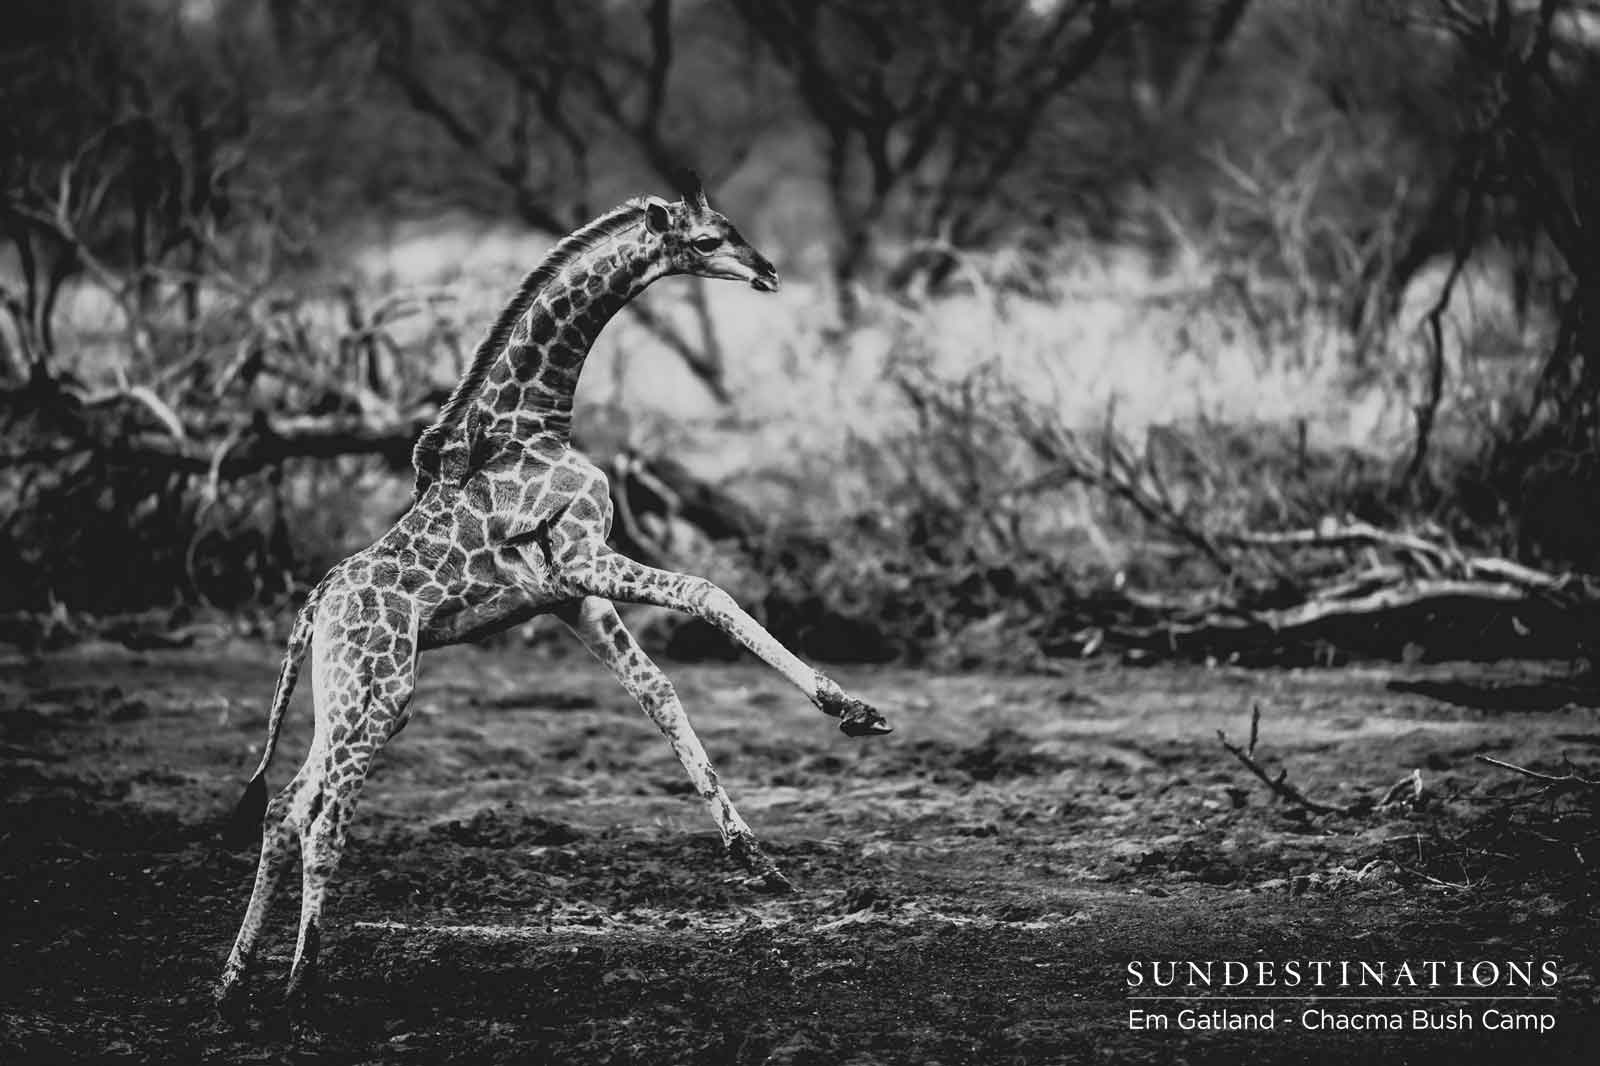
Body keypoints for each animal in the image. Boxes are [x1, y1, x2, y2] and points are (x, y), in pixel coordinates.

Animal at [214, 176, 893, 1018]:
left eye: (732, 227)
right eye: (707, 241)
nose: (766, 270)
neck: (533, 419)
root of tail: (316, 605)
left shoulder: (570, 596)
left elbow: (659, 692)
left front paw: (758, 858)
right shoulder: (582, 555)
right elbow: (707, 592)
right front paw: (848, 708)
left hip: (345, 690)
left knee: (284, 807)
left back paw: (233, 982)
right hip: (379, 689)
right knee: (322, 816)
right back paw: (303, 980)